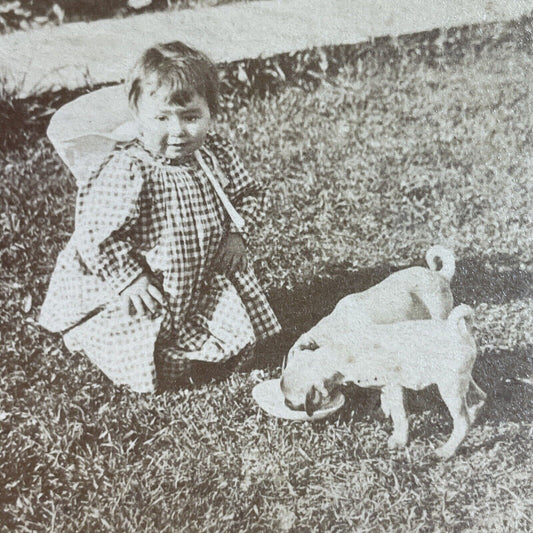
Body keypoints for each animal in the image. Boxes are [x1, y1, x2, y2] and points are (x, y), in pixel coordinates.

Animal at [280, 304, 484, 458]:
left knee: (462, 422)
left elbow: (400, 416)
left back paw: (447, 450)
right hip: (460, 381)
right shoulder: (387, 388)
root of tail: (455, 329)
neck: (336, 355)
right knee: (478, 397)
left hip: (449, 388)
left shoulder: (394, 387)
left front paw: (399, 440)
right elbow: (388, 405)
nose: (285, 404)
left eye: (290, 402)